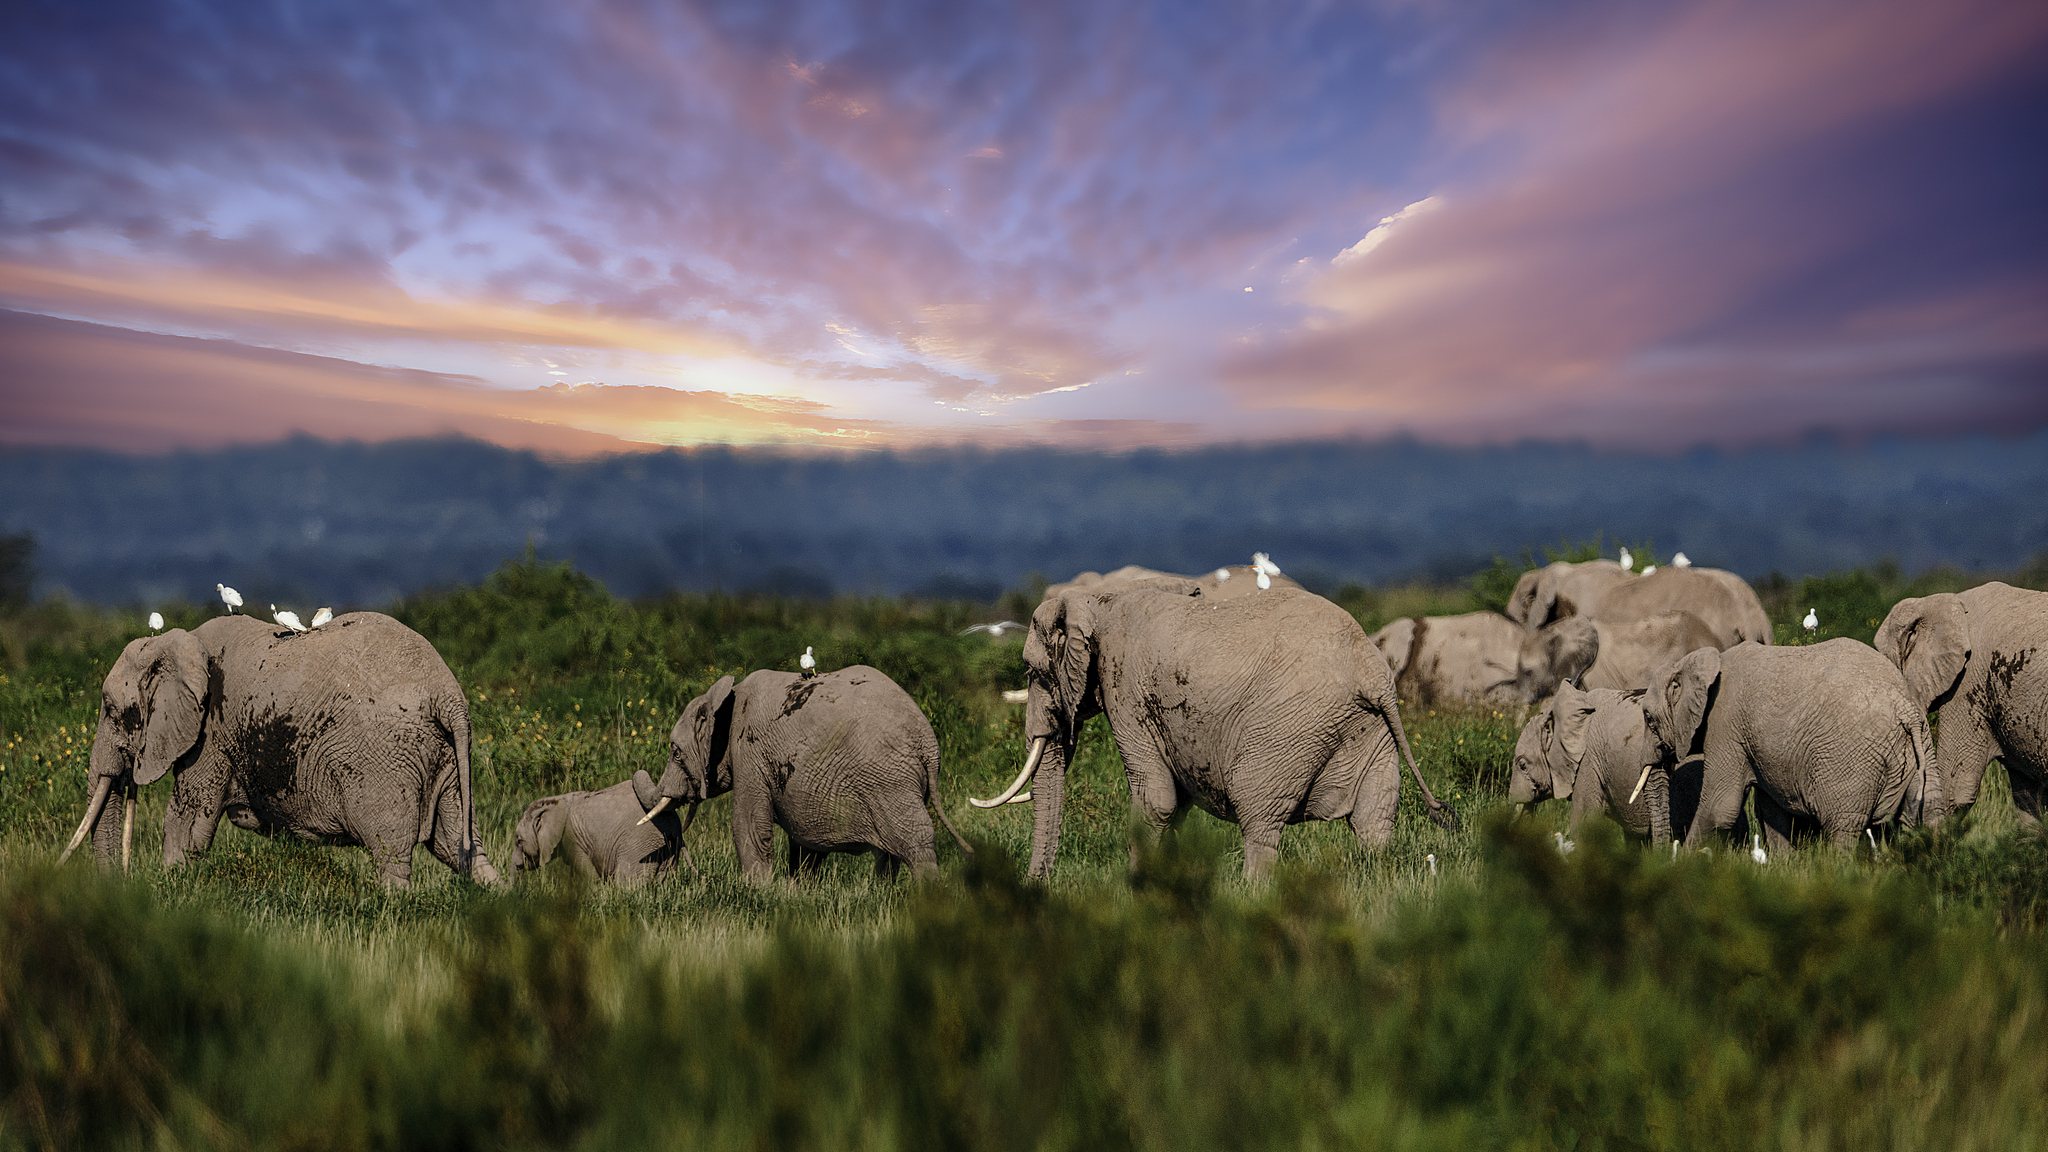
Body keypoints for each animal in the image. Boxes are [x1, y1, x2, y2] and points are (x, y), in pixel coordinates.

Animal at [66, 612, 499, 887]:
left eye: (111, 710)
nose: (123, 883)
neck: (178, 642)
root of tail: (448, 694)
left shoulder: (211, 734)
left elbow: (186, 826)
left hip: (385, 759)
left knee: (391, 852)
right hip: (444, 756)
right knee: (457, 844)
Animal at [513, 770, 687, 887]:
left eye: (519, 841)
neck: (556, 801)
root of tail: (675, 823)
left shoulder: (573, 840)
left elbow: (589, 877)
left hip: (641, 845)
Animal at [649, 665, 974, 883]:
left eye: (675, 752)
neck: (725, 697)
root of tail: (928, 743)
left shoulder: (750, 753)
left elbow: (749, 824)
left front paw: (758, 890)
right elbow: (804, 839)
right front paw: (798, 892)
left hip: (889, 779)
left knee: (914, 841)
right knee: (891, 850)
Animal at [974, 579, 1458, 880]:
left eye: (1031, 671)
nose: (1038, 884)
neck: (1097, 599)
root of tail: (1370, 670)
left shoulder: (1125, 689)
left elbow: (1157, 798)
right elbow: (1177, 800)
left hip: (1288, 726)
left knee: (1259, 815)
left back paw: (1253, 892)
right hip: (1370, 729)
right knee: (1373, 819)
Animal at [1638, 640, 1940, 850]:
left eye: (1648, 718)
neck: (1697, 661)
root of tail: (1904, 708)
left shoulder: (1726, 725)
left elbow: (1719, 808)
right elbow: (1771, 807)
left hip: (1852, 760)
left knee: (1842, 826)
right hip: (1923, 746)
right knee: (1928, 815)